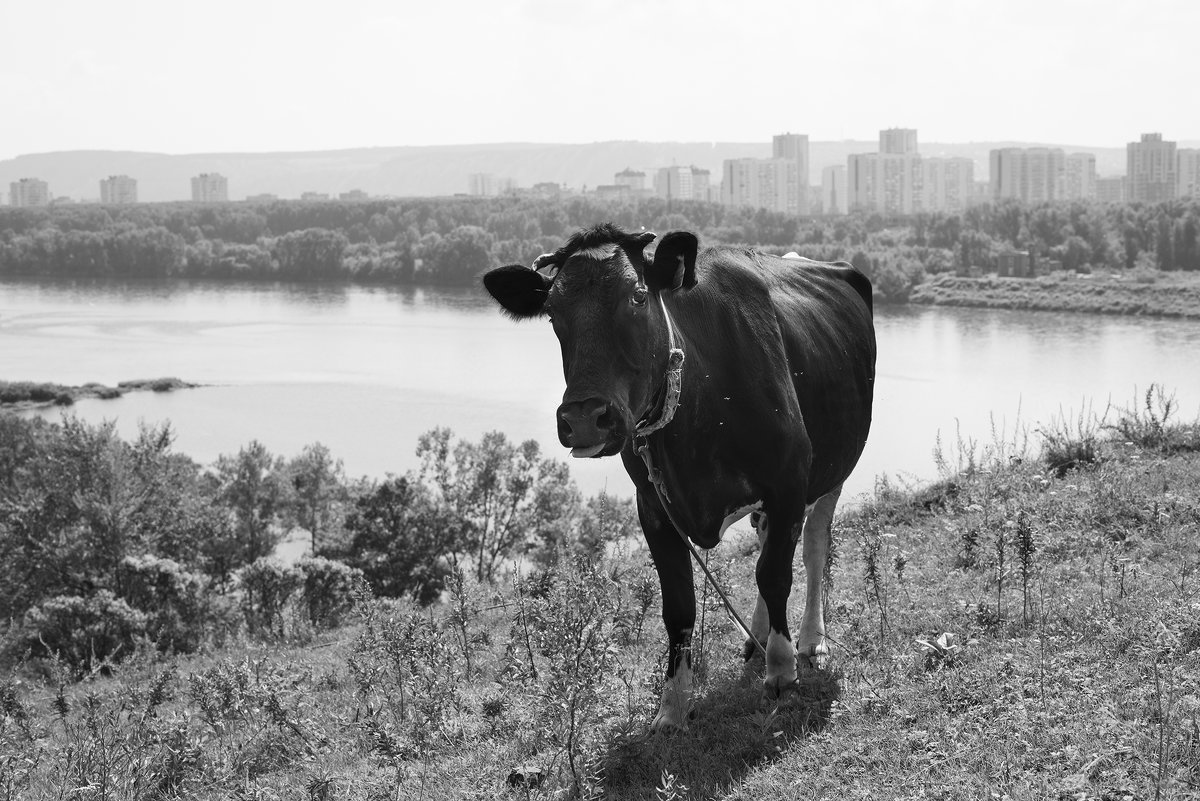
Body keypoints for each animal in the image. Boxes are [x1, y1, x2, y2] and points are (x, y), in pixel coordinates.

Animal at [482, 221, 878, 729]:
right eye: (552, 312)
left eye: (637, 297)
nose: (585, 418)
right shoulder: (653, 507)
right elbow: (679, 605)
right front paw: (671, 706)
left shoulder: (789, 482)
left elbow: (775, 575)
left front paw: (782, 671)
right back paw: (756, 638)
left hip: (833, 470)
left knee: (813, 549)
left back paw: (808, 640)